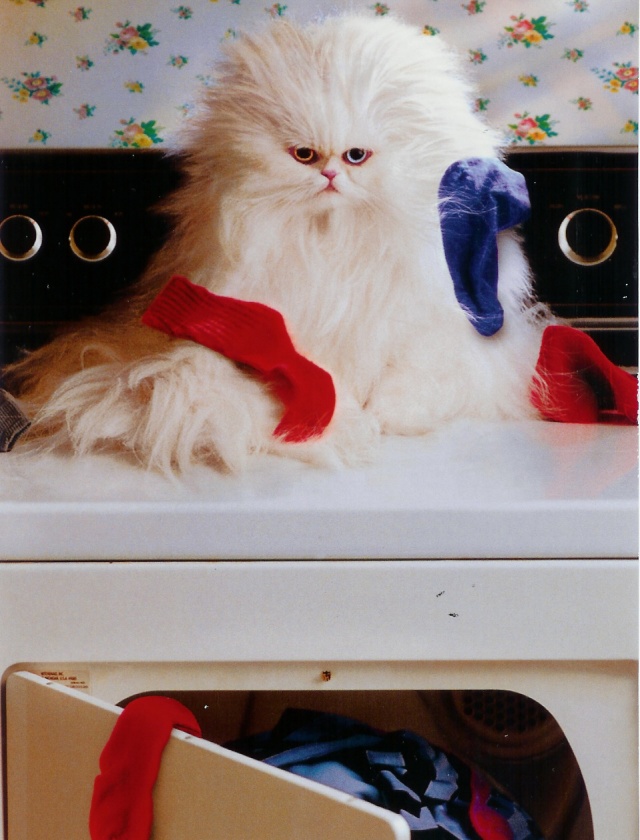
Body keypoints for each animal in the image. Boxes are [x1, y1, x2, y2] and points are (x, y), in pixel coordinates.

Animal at [2, 14, 548, 472]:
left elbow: (413, 386)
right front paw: (348, 425)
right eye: (304, 155)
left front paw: (383, 418)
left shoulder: (436, 338)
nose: (329, 175)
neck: (336, 247)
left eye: (356, 156)